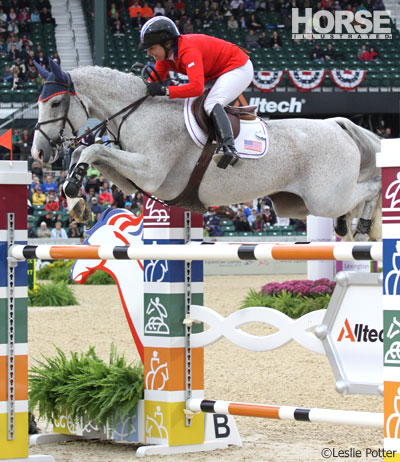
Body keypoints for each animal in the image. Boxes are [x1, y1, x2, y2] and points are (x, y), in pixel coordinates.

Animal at [31, 60, 382, 242]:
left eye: (55, 103)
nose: (38, 154)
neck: (138, 111)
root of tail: (337, 123)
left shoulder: (151, 172)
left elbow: (91, 151)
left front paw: (74, 190)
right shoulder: (131, 181)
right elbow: (86, 154)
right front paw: (78, 203)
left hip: (326, 196)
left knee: (372, 187)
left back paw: (364, 226)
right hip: (296, 204)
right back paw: (353, 229)